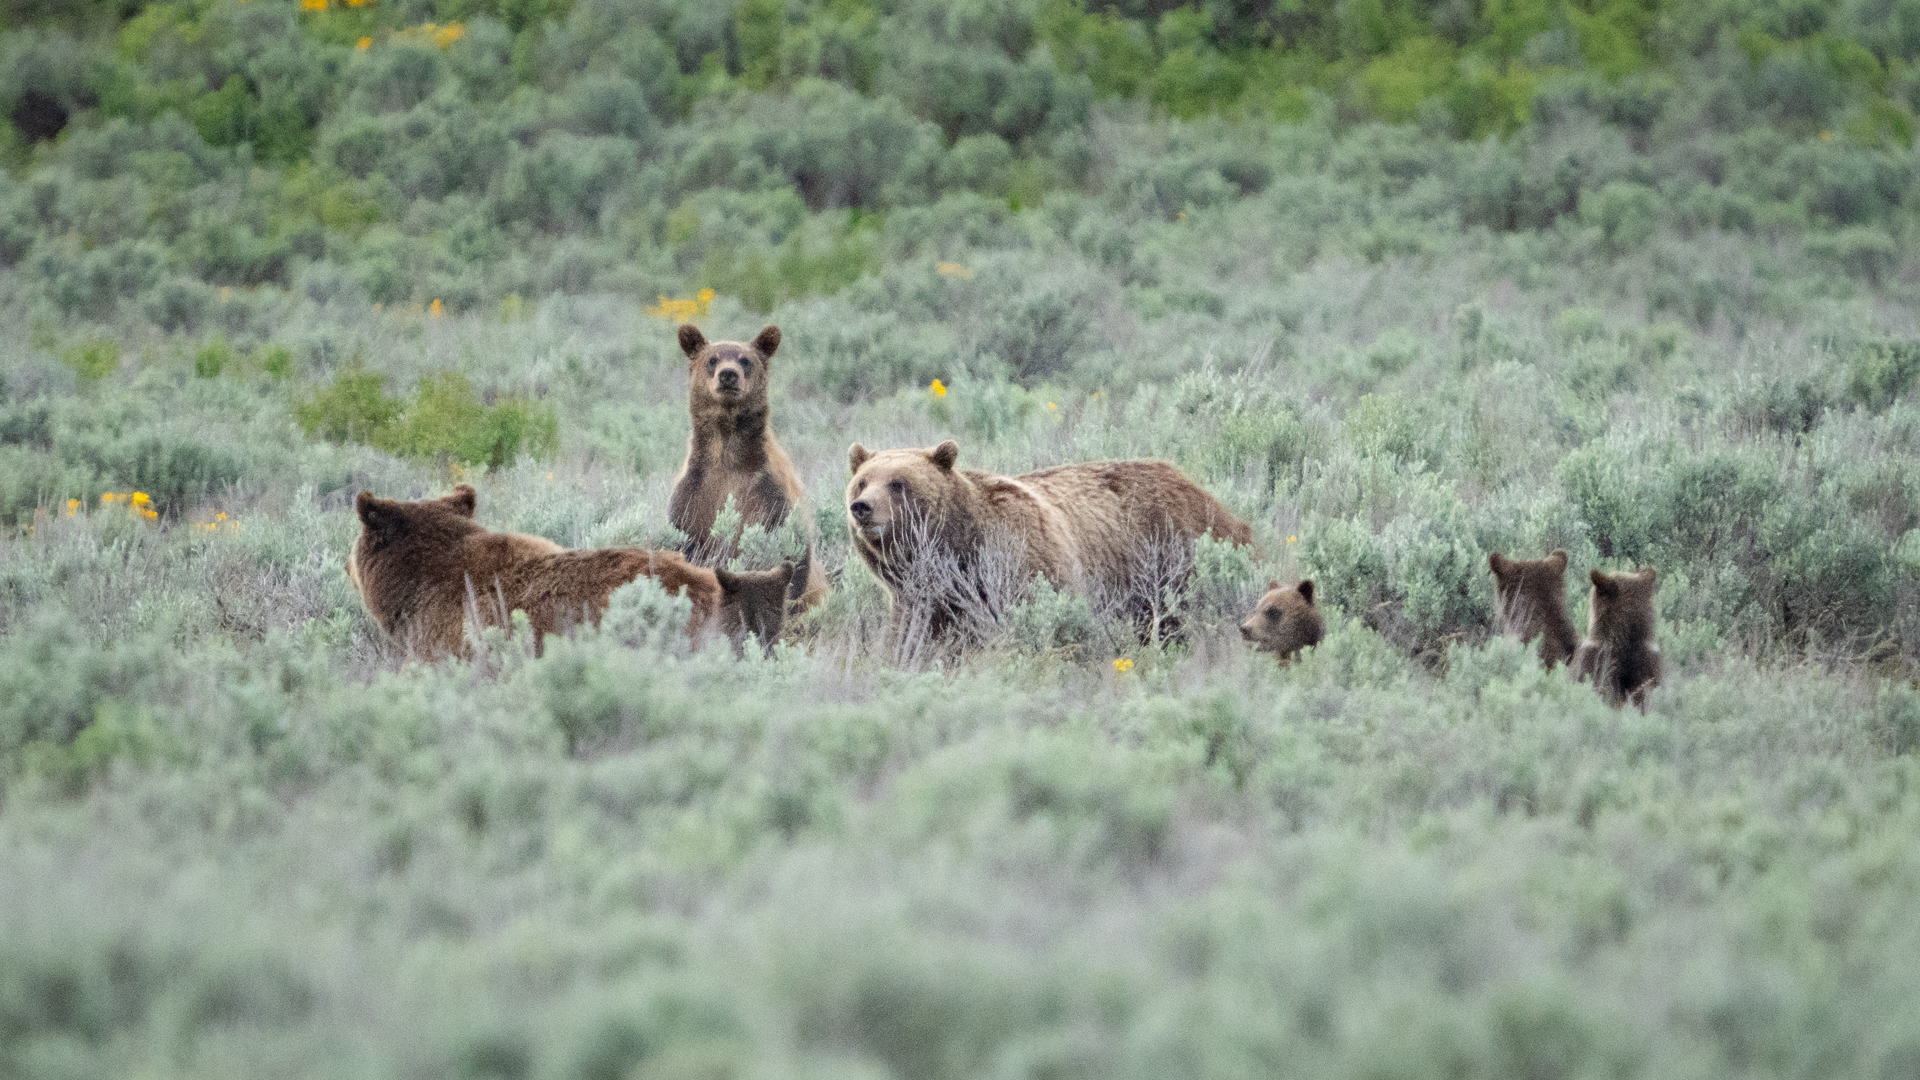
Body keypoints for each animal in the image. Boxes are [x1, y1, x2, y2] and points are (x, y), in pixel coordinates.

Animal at [668, 319, 817, 607]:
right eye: (712, 359)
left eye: (745, 360)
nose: (728, 375)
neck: (727, 453)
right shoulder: (695, 490)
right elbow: (682, 534)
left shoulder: (767, 489)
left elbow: (791, 546)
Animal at [848, 440, 1251, 638]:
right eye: (863, 481)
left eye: (898, 483)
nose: (862, 507)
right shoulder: (919, 597)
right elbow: (914, 639)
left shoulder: (1024, 558)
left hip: (1175, 553)